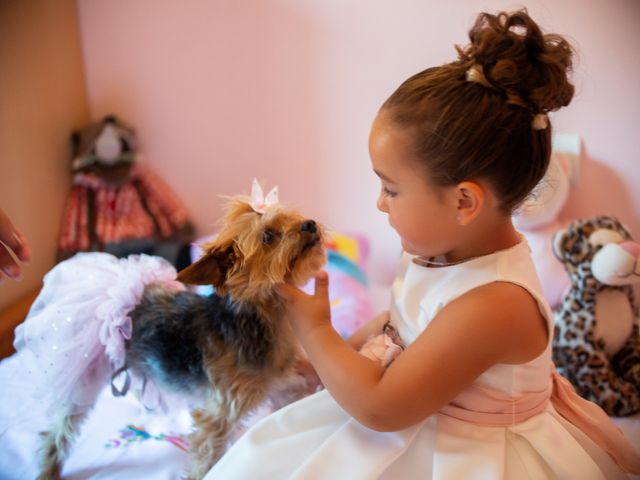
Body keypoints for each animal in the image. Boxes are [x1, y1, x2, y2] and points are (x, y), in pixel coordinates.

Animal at [37, 188, 324, 480]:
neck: (263, 319)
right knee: (59, 429)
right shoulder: (218, 415)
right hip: (84, 373)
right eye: (268, 237)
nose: (310, 223)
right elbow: (206, 460)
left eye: (293, 217)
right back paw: (48, 469)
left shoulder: (283, 386)